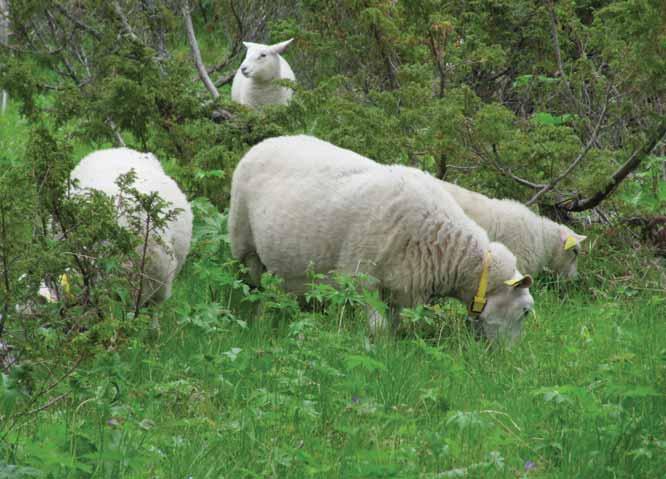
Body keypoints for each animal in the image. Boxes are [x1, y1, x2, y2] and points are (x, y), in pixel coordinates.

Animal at [228, 135, 536, 344]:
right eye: (525, 311)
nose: (507, 357)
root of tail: (264, 142)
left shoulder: (399, 286)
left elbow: (394, 325)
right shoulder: (363, 278)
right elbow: (378, 328)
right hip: (245, 244)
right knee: (254, 287)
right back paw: (256, 321)